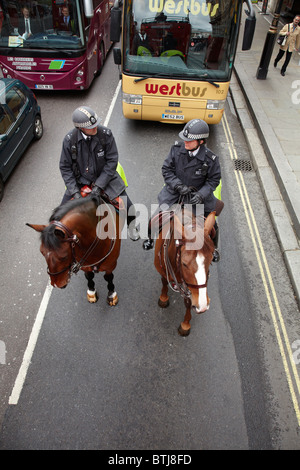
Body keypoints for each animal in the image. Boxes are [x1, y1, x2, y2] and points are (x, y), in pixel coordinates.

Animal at [155, 207, 216, 336]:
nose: (203, 305)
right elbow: (164, 281)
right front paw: (163, 298)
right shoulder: (162, 270)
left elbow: (188, 301)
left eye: (211, 259)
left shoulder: (190, 288)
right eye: (184, 263)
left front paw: (185, 324)